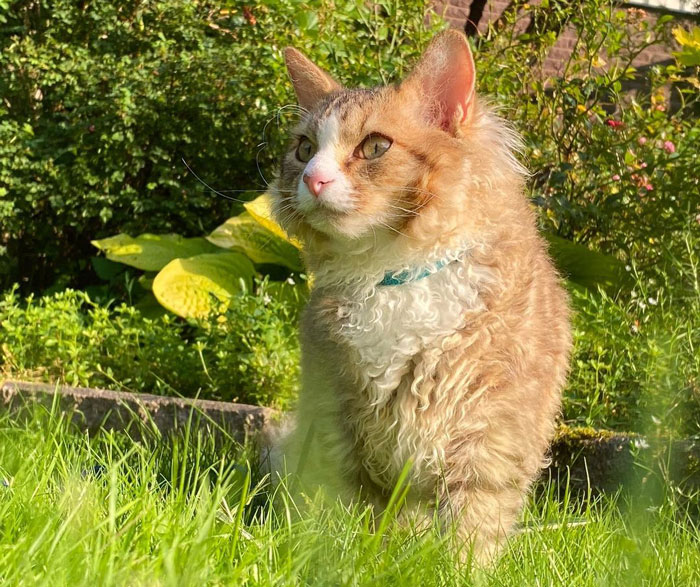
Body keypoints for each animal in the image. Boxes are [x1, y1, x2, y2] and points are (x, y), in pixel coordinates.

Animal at [270, 32, 572, 564]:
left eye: (374, 146)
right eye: (304, 149)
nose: (312, 178)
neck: (394, 276)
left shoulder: (490, 434)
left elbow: (472, 531)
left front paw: (459, 569)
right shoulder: (335, 419)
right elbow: (343, 516)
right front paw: (342, 560)